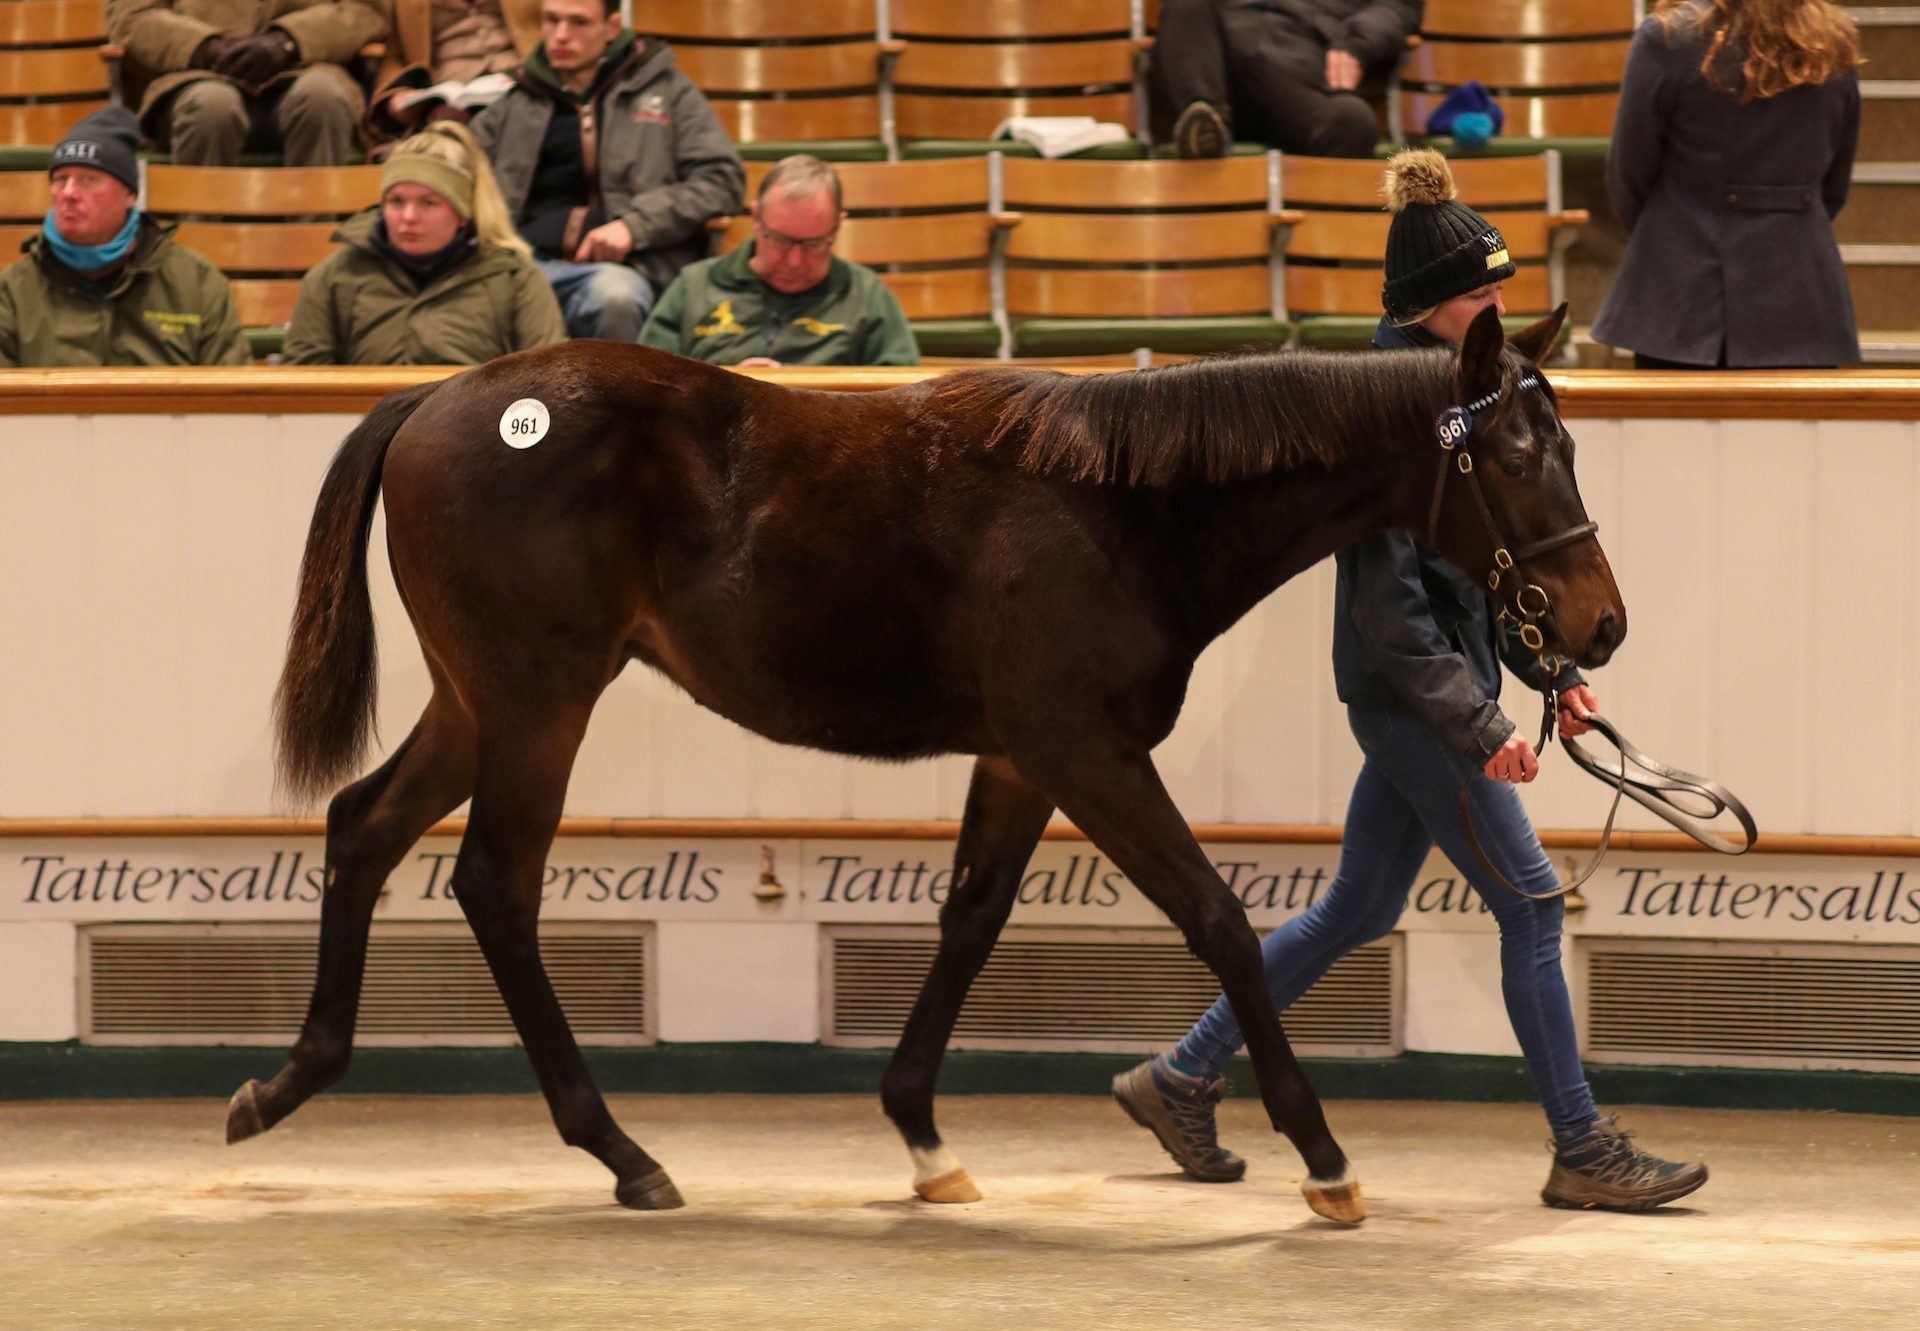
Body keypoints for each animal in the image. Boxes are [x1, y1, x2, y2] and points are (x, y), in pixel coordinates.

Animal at [236, 303, 1620, 1221]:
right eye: (1513, 454)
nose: (1599, 623)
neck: (1120, 507)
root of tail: (437, 399)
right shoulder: (1086, 749)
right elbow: (1221, 919)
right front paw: (1323, 1158)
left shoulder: (1019, 758)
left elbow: (970, 916)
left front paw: (920, 1133)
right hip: (537, 702)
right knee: (496, 884)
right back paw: (621, 1150)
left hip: (479, 702)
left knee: (364, 826)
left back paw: (286, 1081)